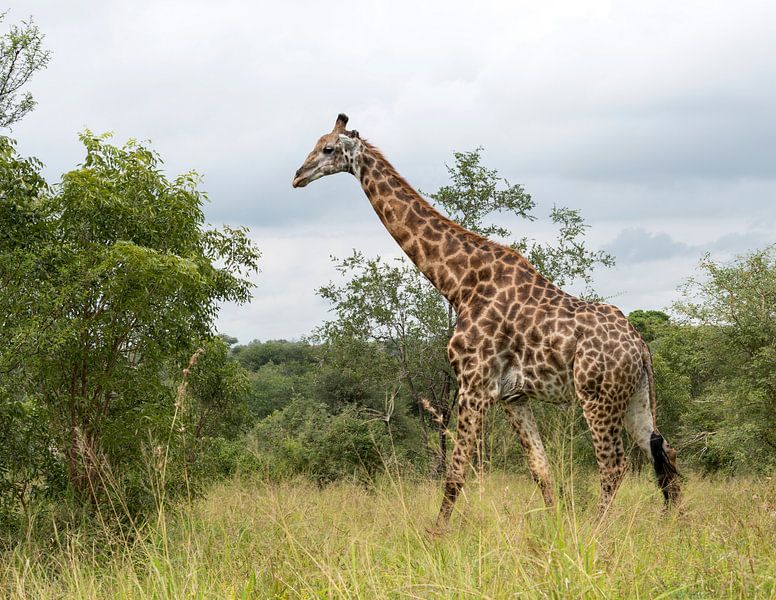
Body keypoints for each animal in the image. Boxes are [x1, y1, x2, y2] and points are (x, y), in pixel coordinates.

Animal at [292, 115, 680, 532]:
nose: (297, 176)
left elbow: (456, 471)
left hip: (597, 397)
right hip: (635, 397)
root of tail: (640, 346)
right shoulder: (512, 396)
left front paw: (436, 535)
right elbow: (540, 469)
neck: (459, 283)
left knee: (614, 466)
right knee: (665, 454)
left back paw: (595, 531)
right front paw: (555, 530)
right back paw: (676, 527)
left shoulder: (474, 383)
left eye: (328, 148)